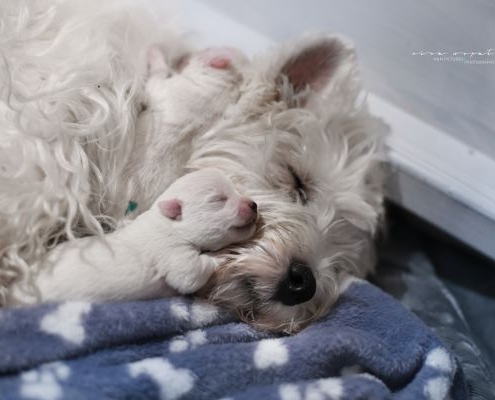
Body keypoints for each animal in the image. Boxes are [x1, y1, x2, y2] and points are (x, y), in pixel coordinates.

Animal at [5, 170, 258, 306]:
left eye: (234, 190)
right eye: (218, 199)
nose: (253, 204)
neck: (164, 221)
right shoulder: (171, 250)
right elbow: (189, 274)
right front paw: (218, 256)